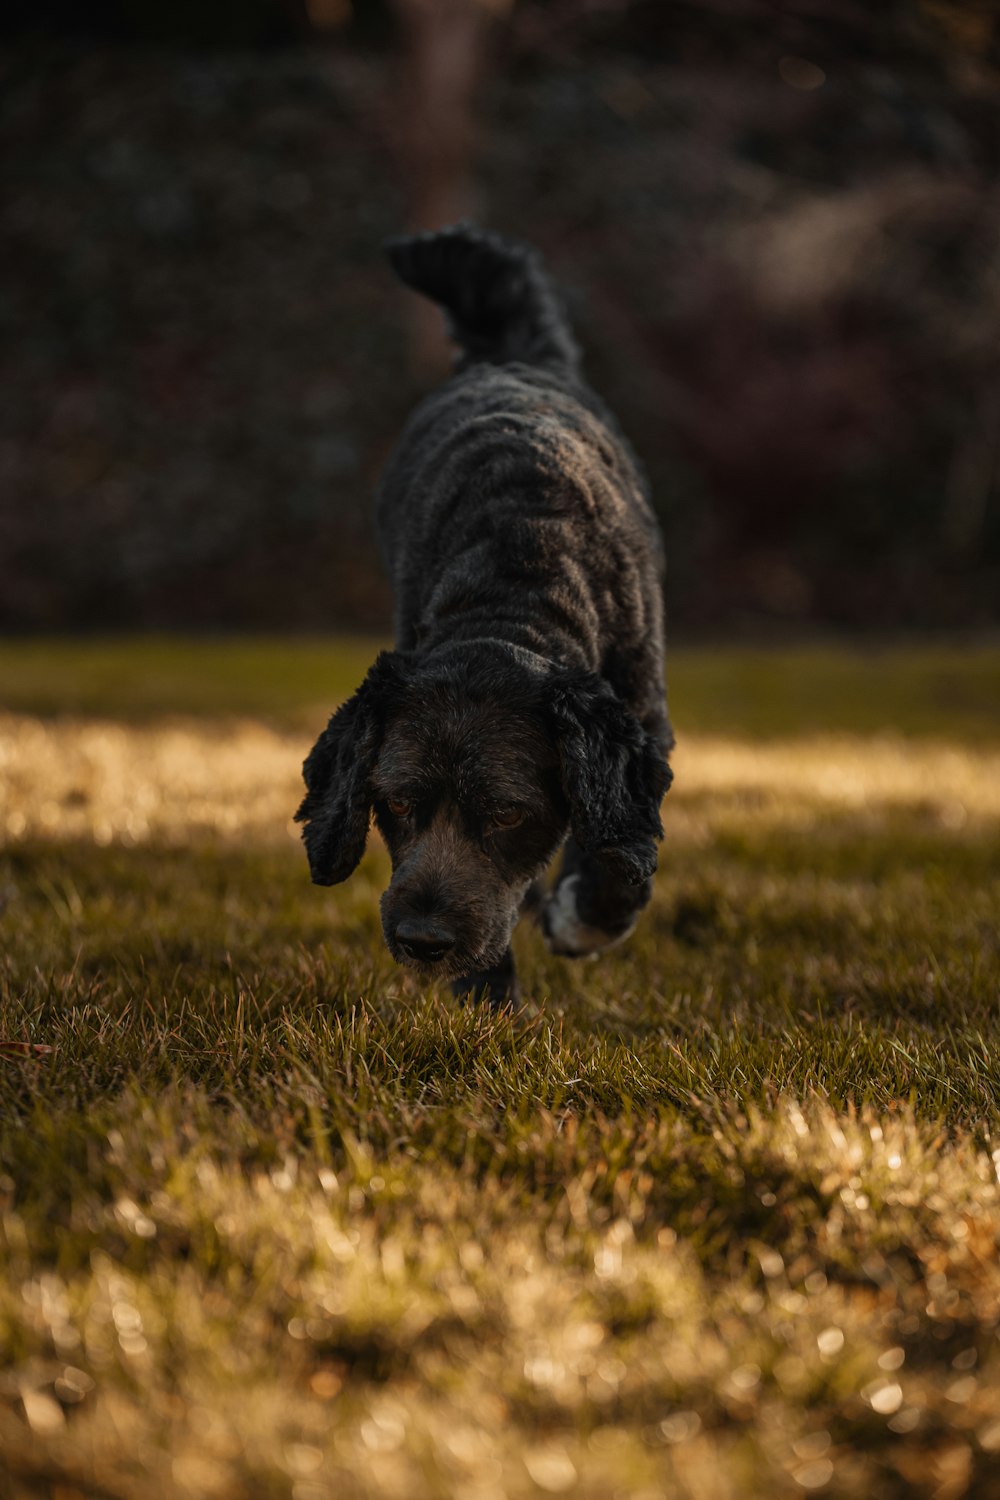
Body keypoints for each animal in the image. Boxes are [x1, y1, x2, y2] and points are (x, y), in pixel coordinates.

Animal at [296, 228, 671, 1002]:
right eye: (395, 804)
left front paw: (579, 921)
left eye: (507, 812)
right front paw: (487, 996)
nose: (423, 941)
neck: (514, 588)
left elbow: (618, 857)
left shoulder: (643, 722)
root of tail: (509, 354)